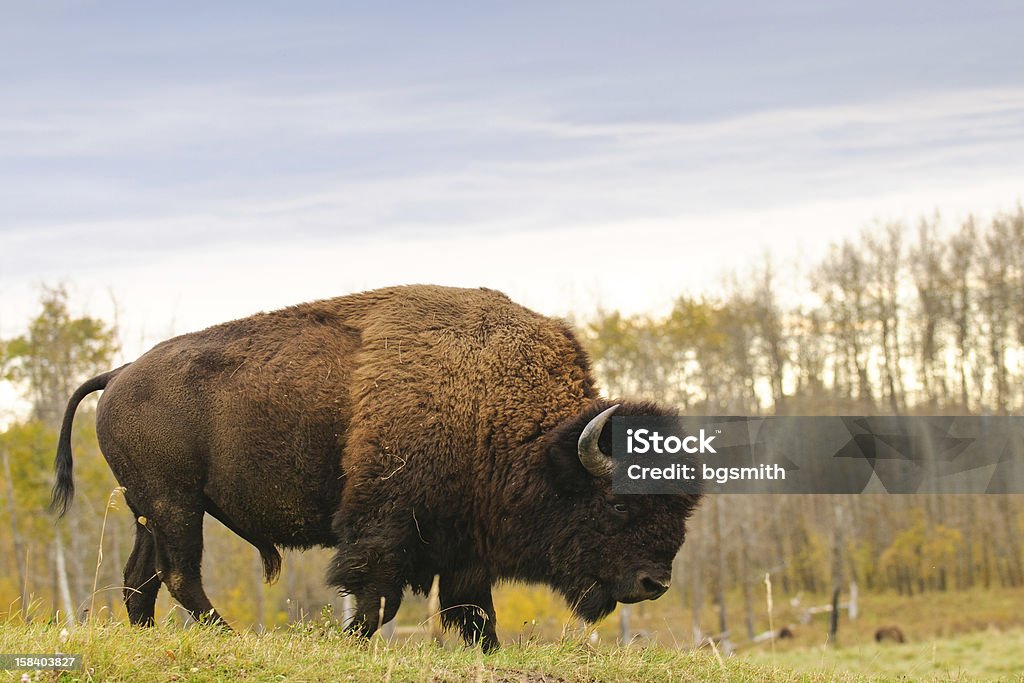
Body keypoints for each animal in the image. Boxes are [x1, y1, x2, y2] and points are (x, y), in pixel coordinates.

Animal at [51, 284, 700, 651]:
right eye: (615, 504)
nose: (655, 584)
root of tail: (121, 372)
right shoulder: (386, 522)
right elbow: (376, 593)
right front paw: (355, 642)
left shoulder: (463, 541)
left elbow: (472, 608)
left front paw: (488, 651)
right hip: (176, 505)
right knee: (180, 574)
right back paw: (228, 636)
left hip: (149, 509)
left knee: (141, 578)